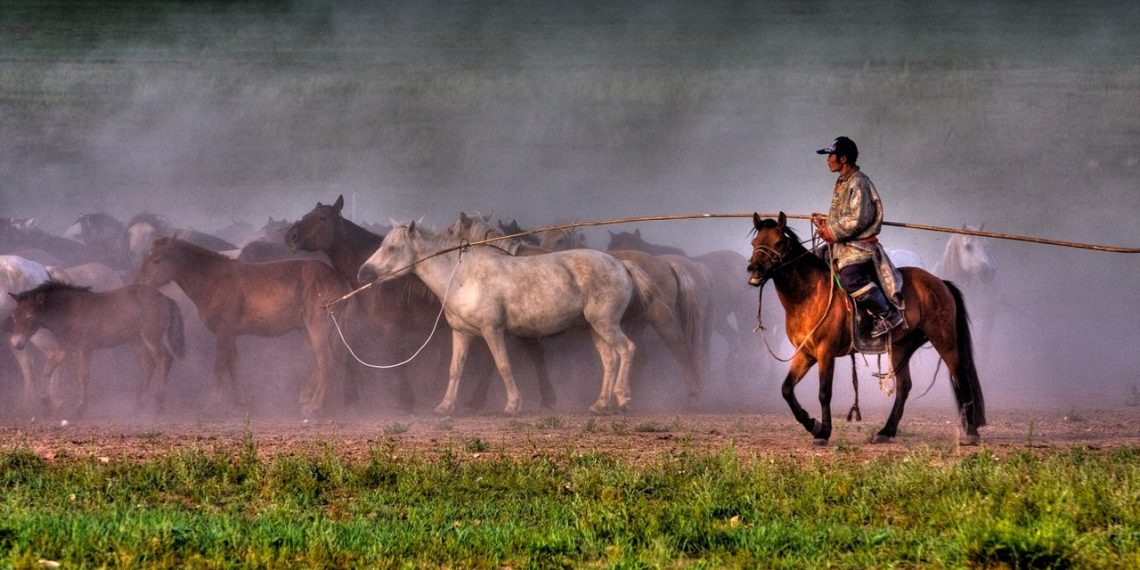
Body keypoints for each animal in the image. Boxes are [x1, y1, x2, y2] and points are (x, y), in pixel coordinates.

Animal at [8, 281, 184, 415]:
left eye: (30, 316)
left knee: (165, 359)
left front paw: (80, 408)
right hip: (136, 340)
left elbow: (82, 376)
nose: (16, 343)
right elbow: (48, 368)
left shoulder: (85, 348)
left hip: (150, 337)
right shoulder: (63, 348)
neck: (69, 311)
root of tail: (166, 299)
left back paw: (159, 404)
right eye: (14, 315)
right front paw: (45, 403)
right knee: (148, 365)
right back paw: (137, 406)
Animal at [134, 237, 350, 416]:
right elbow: (233, 367)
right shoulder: (231, 334)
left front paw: (212, 404)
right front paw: (239, 402)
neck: (214, 280)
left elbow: (219, 367)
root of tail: (337, 279)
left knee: (326, 362)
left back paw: (314, 406)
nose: (138, 284)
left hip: (317, 327)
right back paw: (307, 396)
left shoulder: (223, 331)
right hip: (308, 329)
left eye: (156, 261)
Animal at [358, 222, 653, 415]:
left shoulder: (493, 330)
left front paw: (513, 405)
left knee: (627, 349)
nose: (363, 273)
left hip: (606, 324)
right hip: (595, 328)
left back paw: (623, 398)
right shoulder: (461, 333)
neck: (463, 276)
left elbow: (503, 366)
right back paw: (601, 404)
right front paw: (445, 406)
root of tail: (621, 264)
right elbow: (455, 370)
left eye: (393, 248)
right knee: (609, 360)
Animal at [747, 212, 986, 445]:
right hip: (901, 345)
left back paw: (971, 433)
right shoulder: (806, 353)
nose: (754, 270)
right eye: (754, 242)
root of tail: (940, 283)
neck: (810, 295)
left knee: (960, 376)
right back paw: (886, 431)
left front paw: (823, 432)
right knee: (904, 386)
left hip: (944, 339)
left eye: (779, 243)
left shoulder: (826, 352)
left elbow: (824, 393)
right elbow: (786, 389)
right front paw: (812, 424)